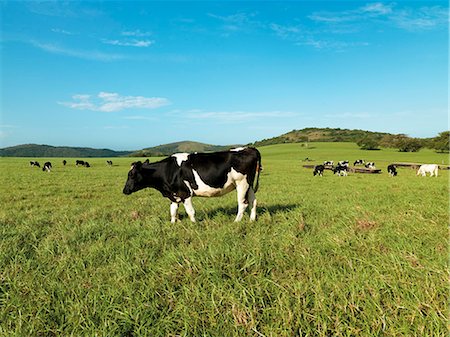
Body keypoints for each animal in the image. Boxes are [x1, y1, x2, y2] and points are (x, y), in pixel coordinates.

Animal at [124, 147, 264, 223]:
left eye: (131, 175)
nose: (124, 190)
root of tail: (249, 148)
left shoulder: (185, 193)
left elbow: (190, 211)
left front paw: (194, 224)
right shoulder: (173, 194)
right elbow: (173, 211)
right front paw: (172, 224)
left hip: (241, 183)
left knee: (243, 203)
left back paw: (236, 222)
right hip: (249, 185)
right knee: (253, 201)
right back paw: (252, 220)